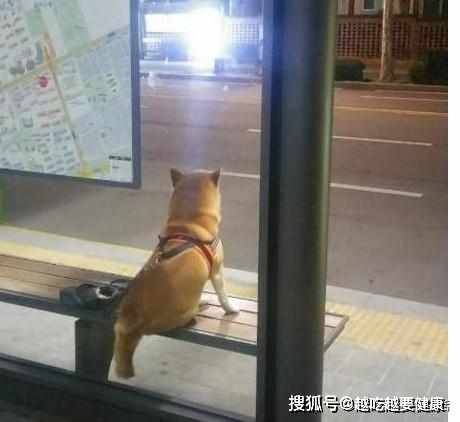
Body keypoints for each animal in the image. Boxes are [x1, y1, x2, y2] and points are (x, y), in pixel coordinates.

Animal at [113, 168, 239, 379]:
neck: (189, 221)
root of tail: (135, 321)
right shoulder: (217, 272)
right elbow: (223, 296)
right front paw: (231, 309)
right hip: (186, 309)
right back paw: (200, 306)